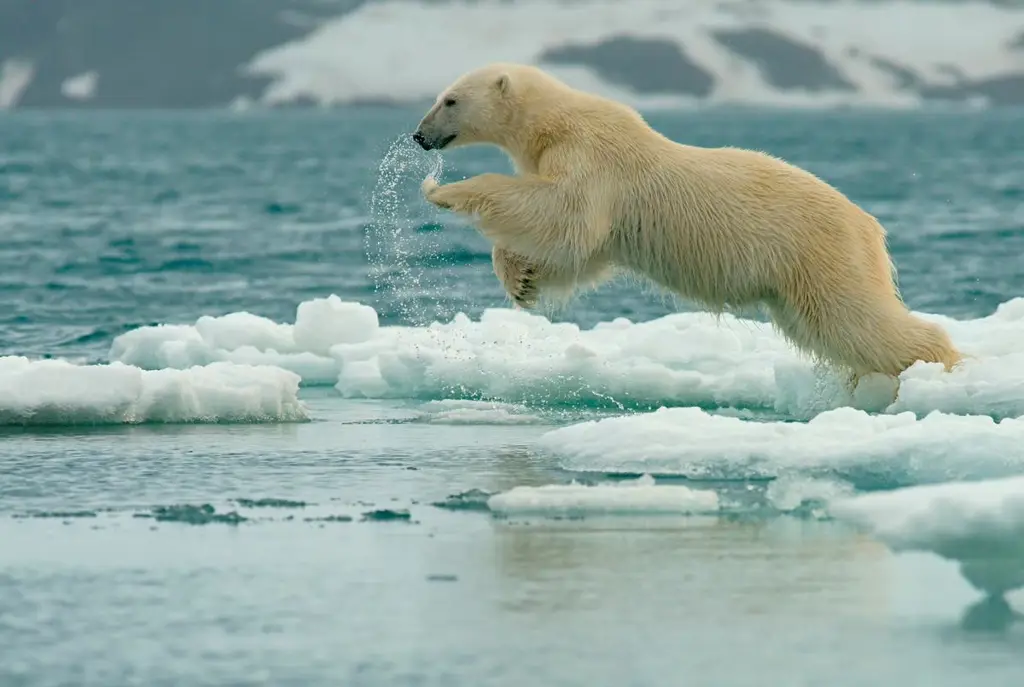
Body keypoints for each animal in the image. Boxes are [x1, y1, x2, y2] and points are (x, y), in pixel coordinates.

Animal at [407, 62, 958, 384]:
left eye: (449, 99)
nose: (418, 135)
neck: (555, 122)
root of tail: (869, 227)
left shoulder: (594, 158)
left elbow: (566, 216)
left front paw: (442, 191)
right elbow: (581, 249)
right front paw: (521, 282)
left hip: (819, 252)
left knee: (856, 319)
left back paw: (939, 365)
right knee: (828, 328)